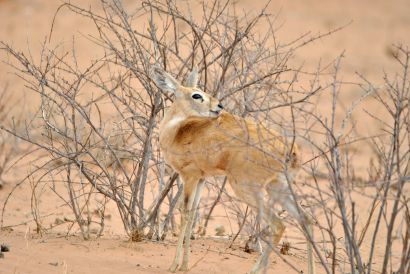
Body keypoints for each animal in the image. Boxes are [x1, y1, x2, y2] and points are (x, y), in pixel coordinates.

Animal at [152, 66, 316, 274]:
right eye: (197, 94)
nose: (219, 106)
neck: (176, 131)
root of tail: (290, 150)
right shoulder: (202, 179)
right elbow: (193, 215)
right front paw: (185, 265)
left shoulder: (189, 176)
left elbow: (185, 214)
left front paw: (174, 266)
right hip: (278, 188)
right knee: (306, 219)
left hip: (246, 188)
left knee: (278, 225)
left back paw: (255, 270)